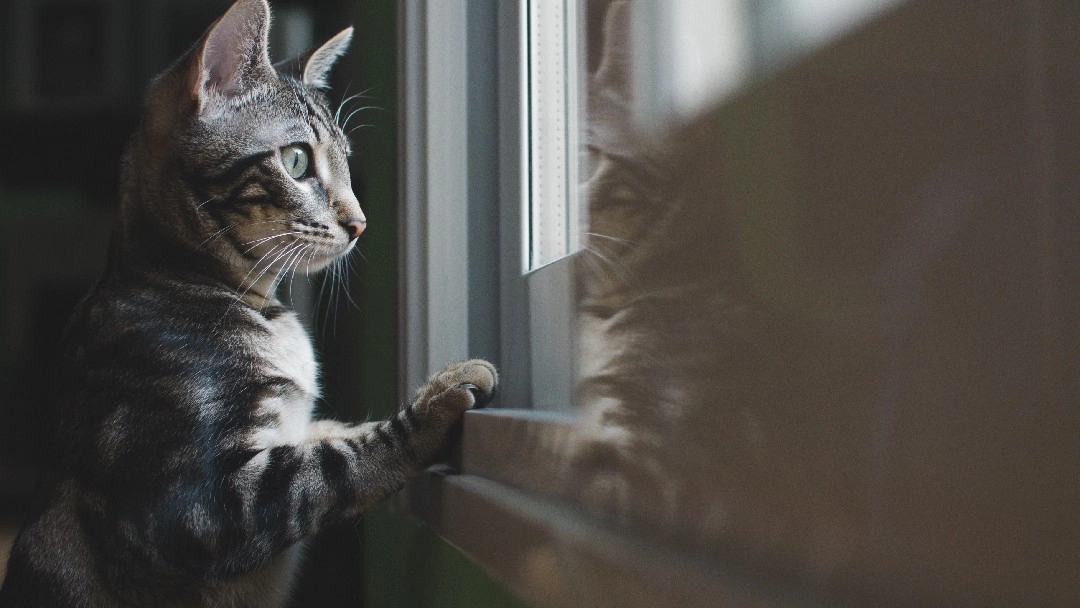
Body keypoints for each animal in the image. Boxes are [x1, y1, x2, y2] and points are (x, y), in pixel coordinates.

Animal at [0, 2, 496, 604]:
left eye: (346, 162)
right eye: (298, 161)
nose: (360, 223)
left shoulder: (294, 432)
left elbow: (334, 432)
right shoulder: (203, 507)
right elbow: (339, 462)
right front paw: (440, 400)